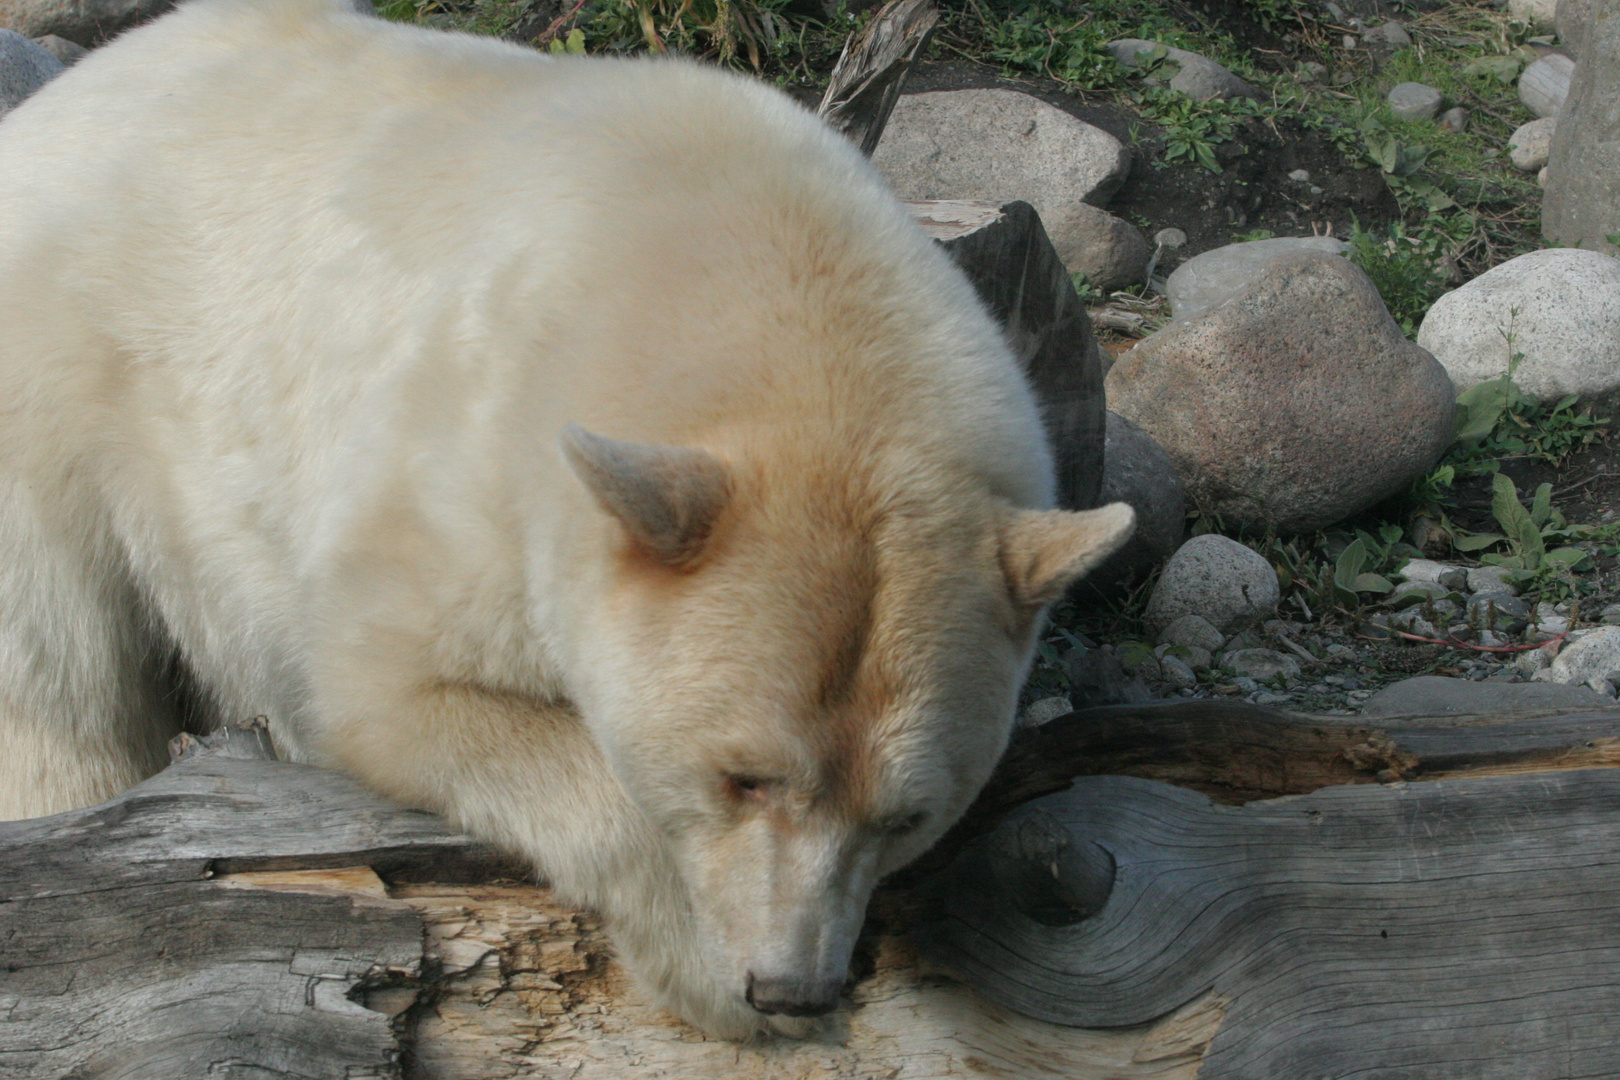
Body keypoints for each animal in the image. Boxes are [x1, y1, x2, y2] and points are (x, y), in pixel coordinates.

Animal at [0, 0, 1134, 1036]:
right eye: (744, 776)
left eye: (908, 815)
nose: (794, 988)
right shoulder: (464, 452)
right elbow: (386, 685)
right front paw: (703, 975)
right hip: (66, 383)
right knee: (58, 678)